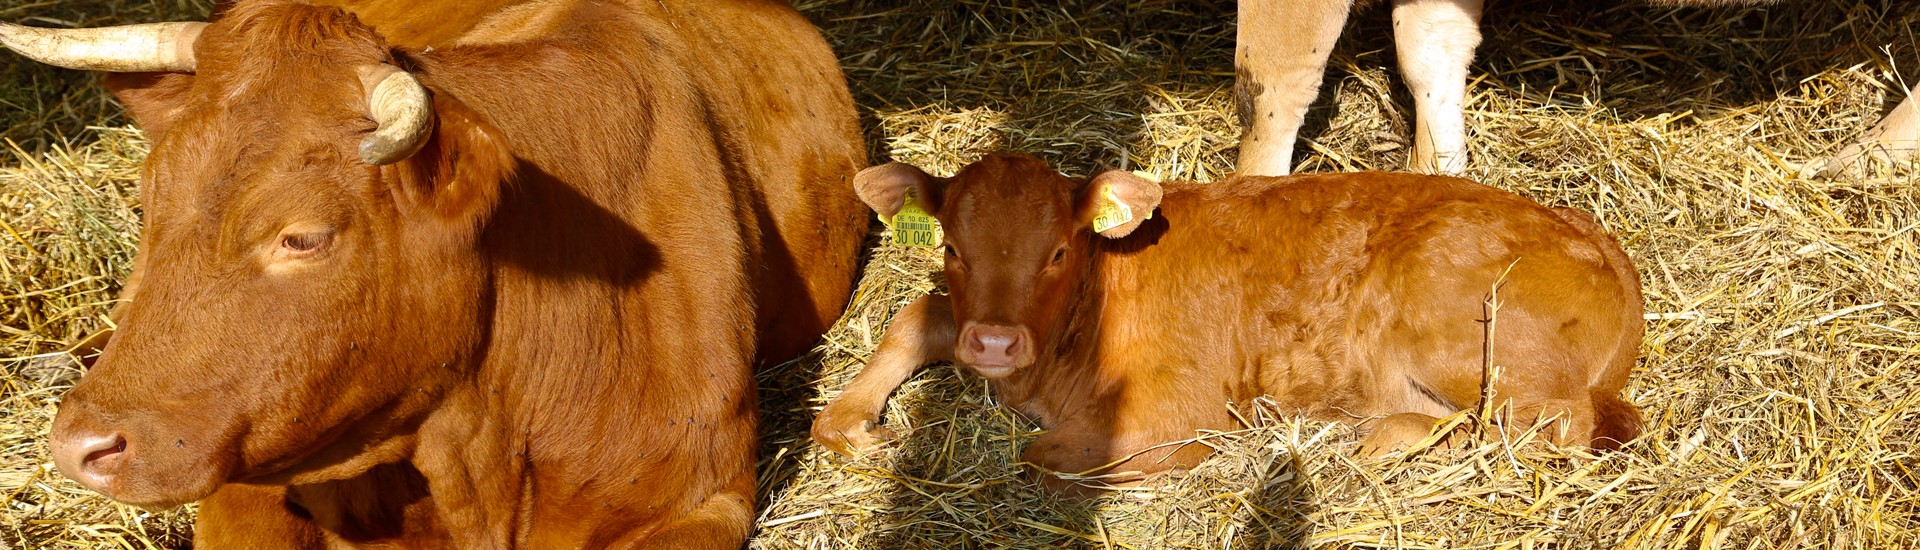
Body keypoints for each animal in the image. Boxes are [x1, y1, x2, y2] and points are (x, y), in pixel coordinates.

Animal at [817, 153, 1643, 490]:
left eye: (1057, 251)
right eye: (951, 246)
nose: (993, 340)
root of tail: (1591, 230)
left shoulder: (1176, 410)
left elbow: (1044, 458)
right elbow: (918, 316)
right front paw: (848, 421)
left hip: (1470, 340)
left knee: (1552, 426)